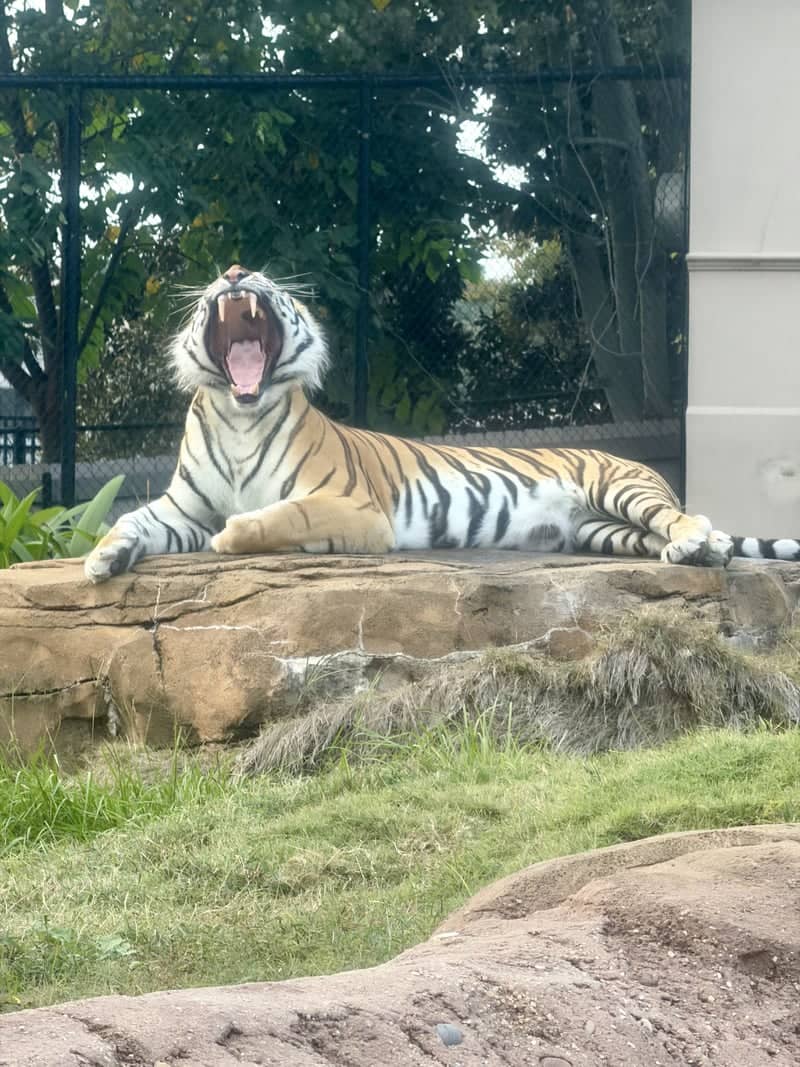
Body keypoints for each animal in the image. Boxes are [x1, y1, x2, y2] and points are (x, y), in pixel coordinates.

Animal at [84, 264, 800, 583]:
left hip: (620, 488)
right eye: (223, 275)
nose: (233, 271)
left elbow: (281, 515)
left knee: (686, 516)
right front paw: (102, 556)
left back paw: (698, 542)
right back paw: (694, 552)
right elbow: (132, 520)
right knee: (663, 536)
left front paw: (234, 536)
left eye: (264, 276)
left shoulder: (350, 506)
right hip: (601, 531)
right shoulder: (183, 507)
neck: (240, 414)